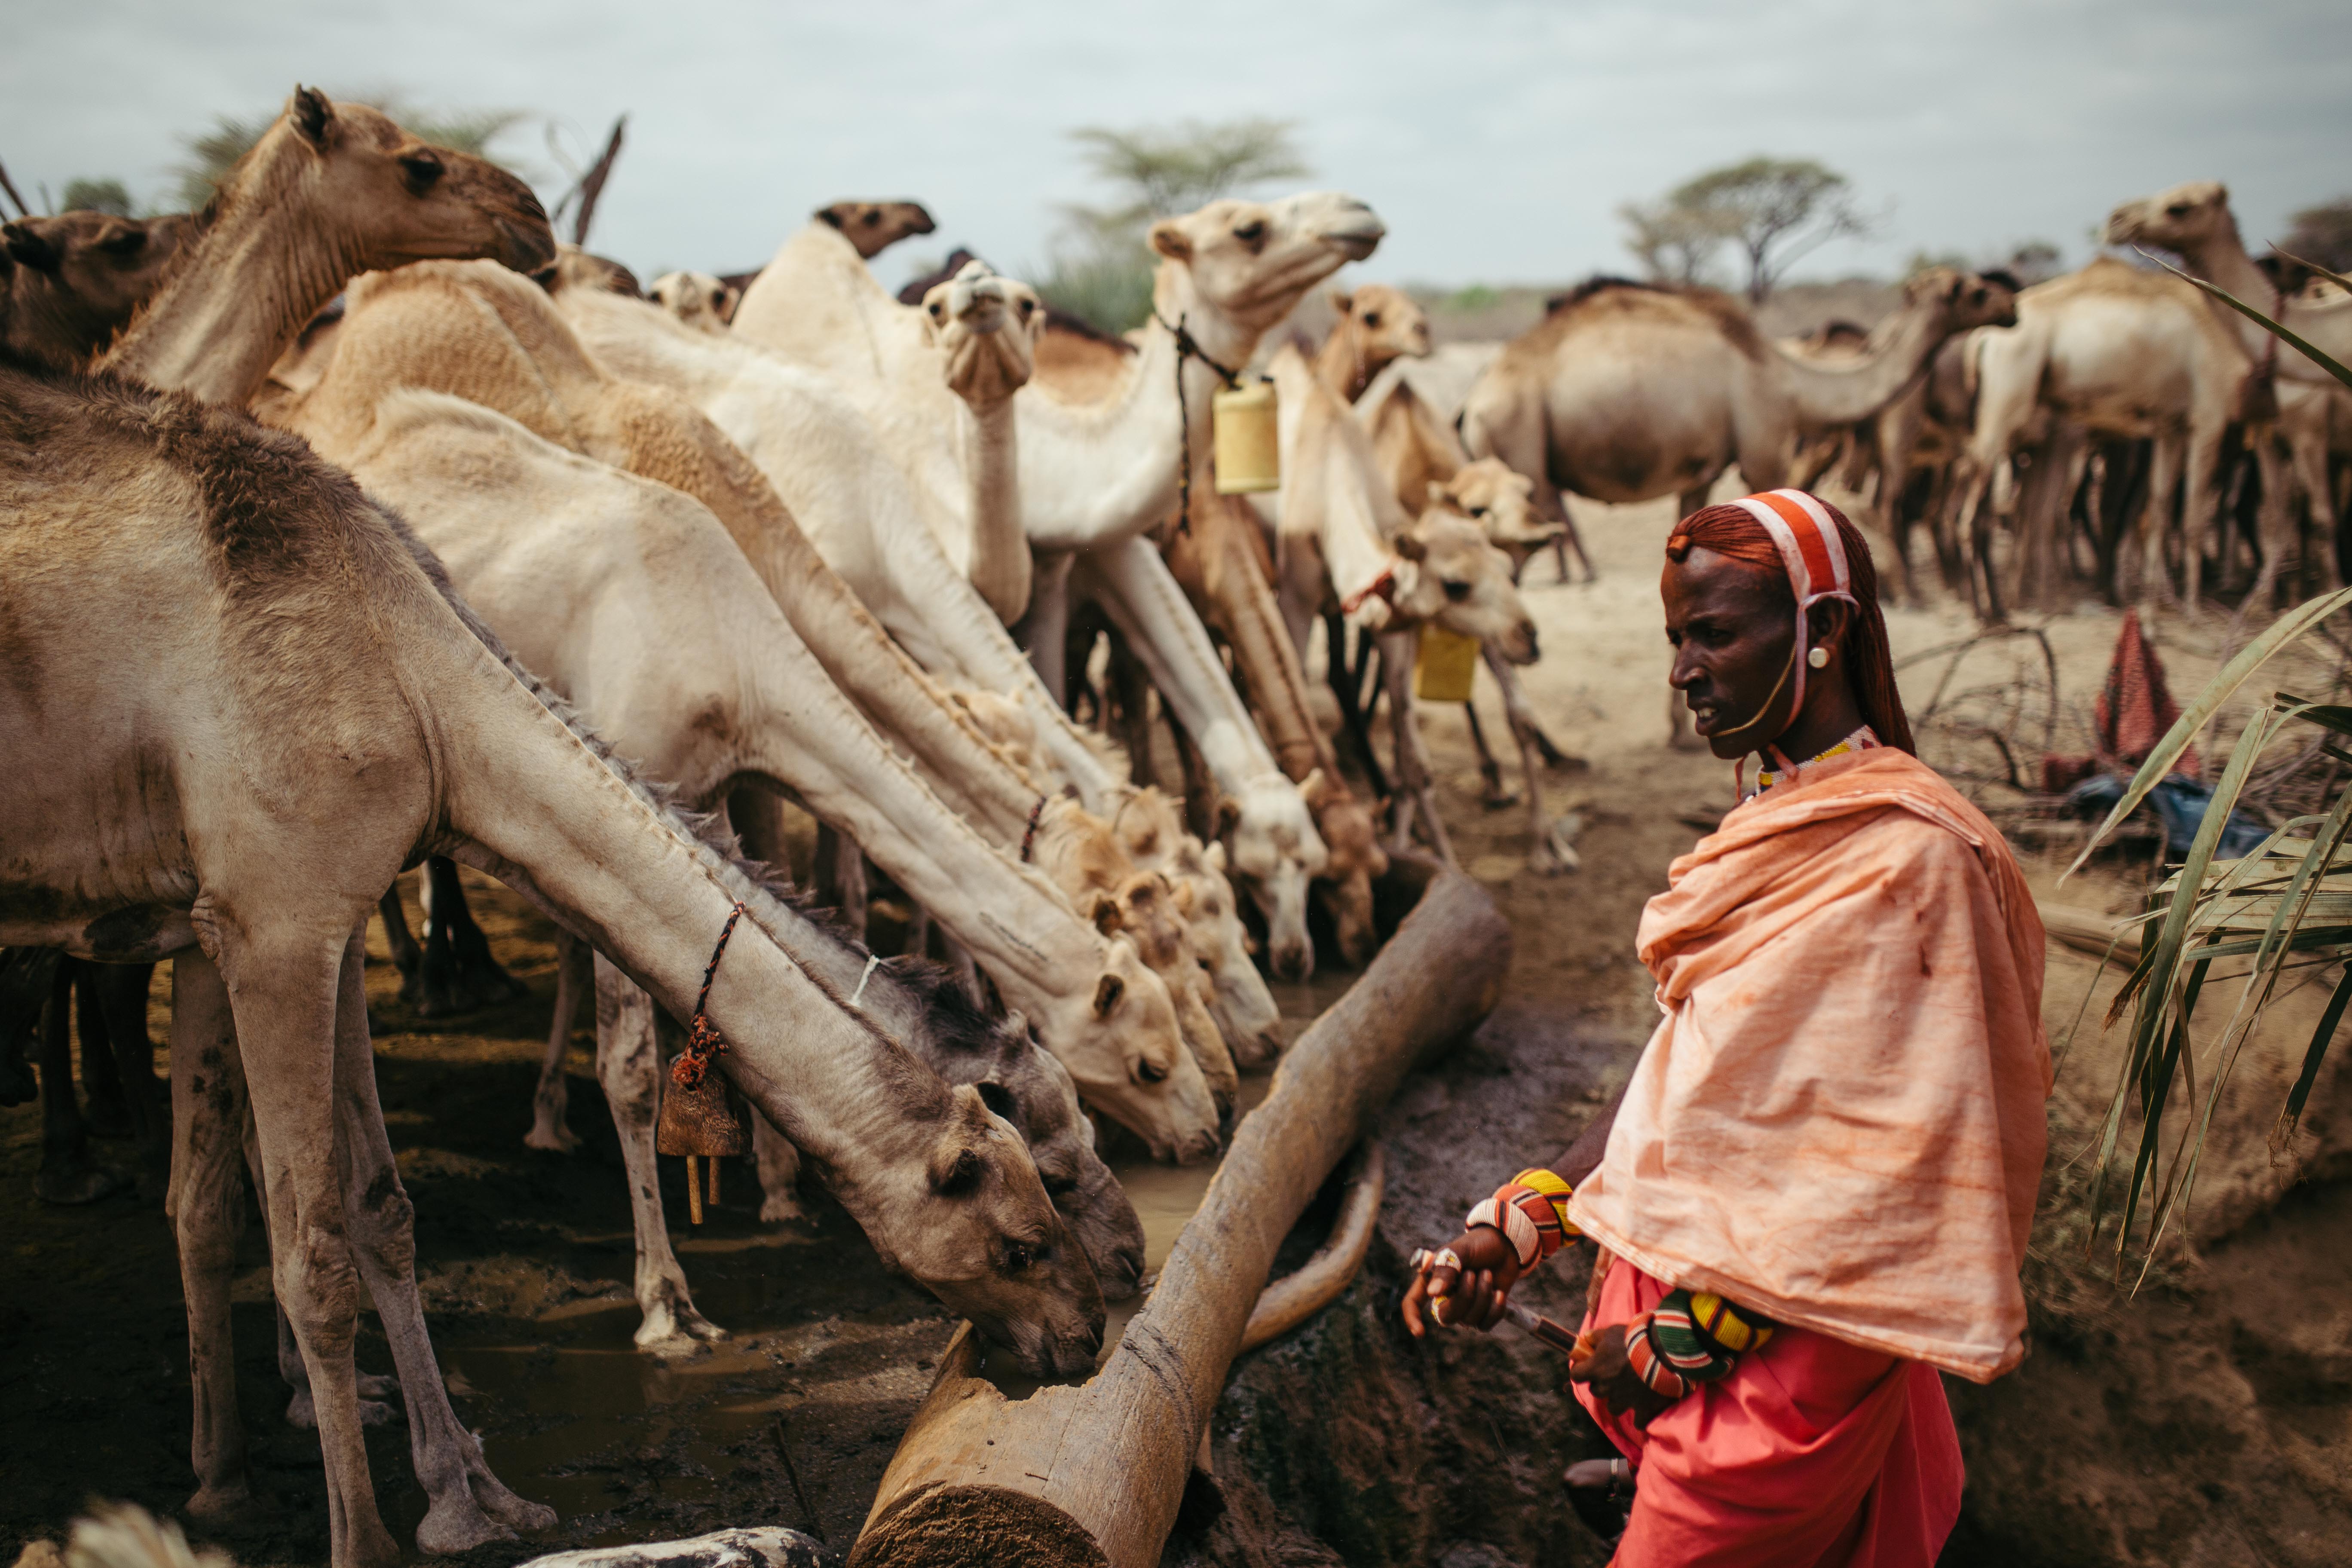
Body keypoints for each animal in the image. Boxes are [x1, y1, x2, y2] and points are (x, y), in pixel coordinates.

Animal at [1460, 269, 2018, 586]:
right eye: (1972, 291)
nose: (2011, 306)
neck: (1789, 380)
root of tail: (1475, 402)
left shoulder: (1698, 472)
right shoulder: (1762, 450)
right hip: (1518, 441)